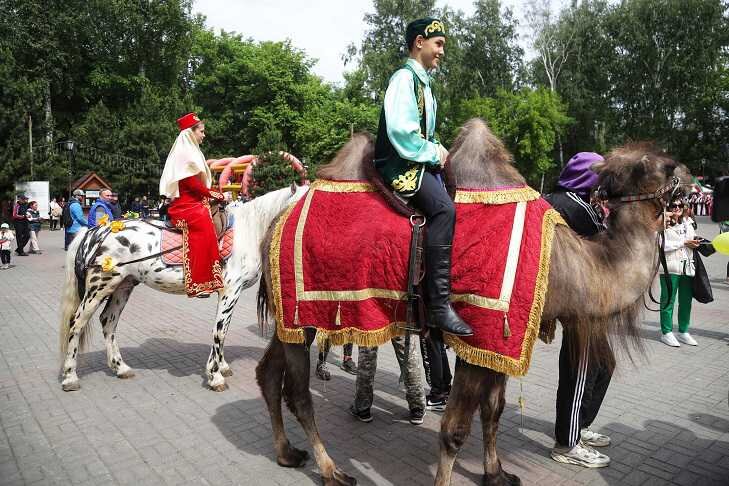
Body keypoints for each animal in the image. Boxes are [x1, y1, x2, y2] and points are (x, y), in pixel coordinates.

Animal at [58, 182, 306, 392]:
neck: (248, 233)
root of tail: (93, 232)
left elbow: (223, 330)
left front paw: (222, 366)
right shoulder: (230, 292)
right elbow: (219, 330)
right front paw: (215, 376)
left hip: (123, 285)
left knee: (108, 321)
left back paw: (121, 368)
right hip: (99, 286)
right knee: (76, 323)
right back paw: (70, 377)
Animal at [252, 118, 684, 486]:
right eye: (663, 166)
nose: (689, 183)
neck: (566, 263)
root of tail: (275, 222)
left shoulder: (502, 339)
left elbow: (493, 411)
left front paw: (497, 474)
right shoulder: (482, 331)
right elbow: (455, 430)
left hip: (290, 318)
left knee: (268, 373)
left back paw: (287, 453)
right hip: (304, 312)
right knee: (299, 394)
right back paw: (332, 471)